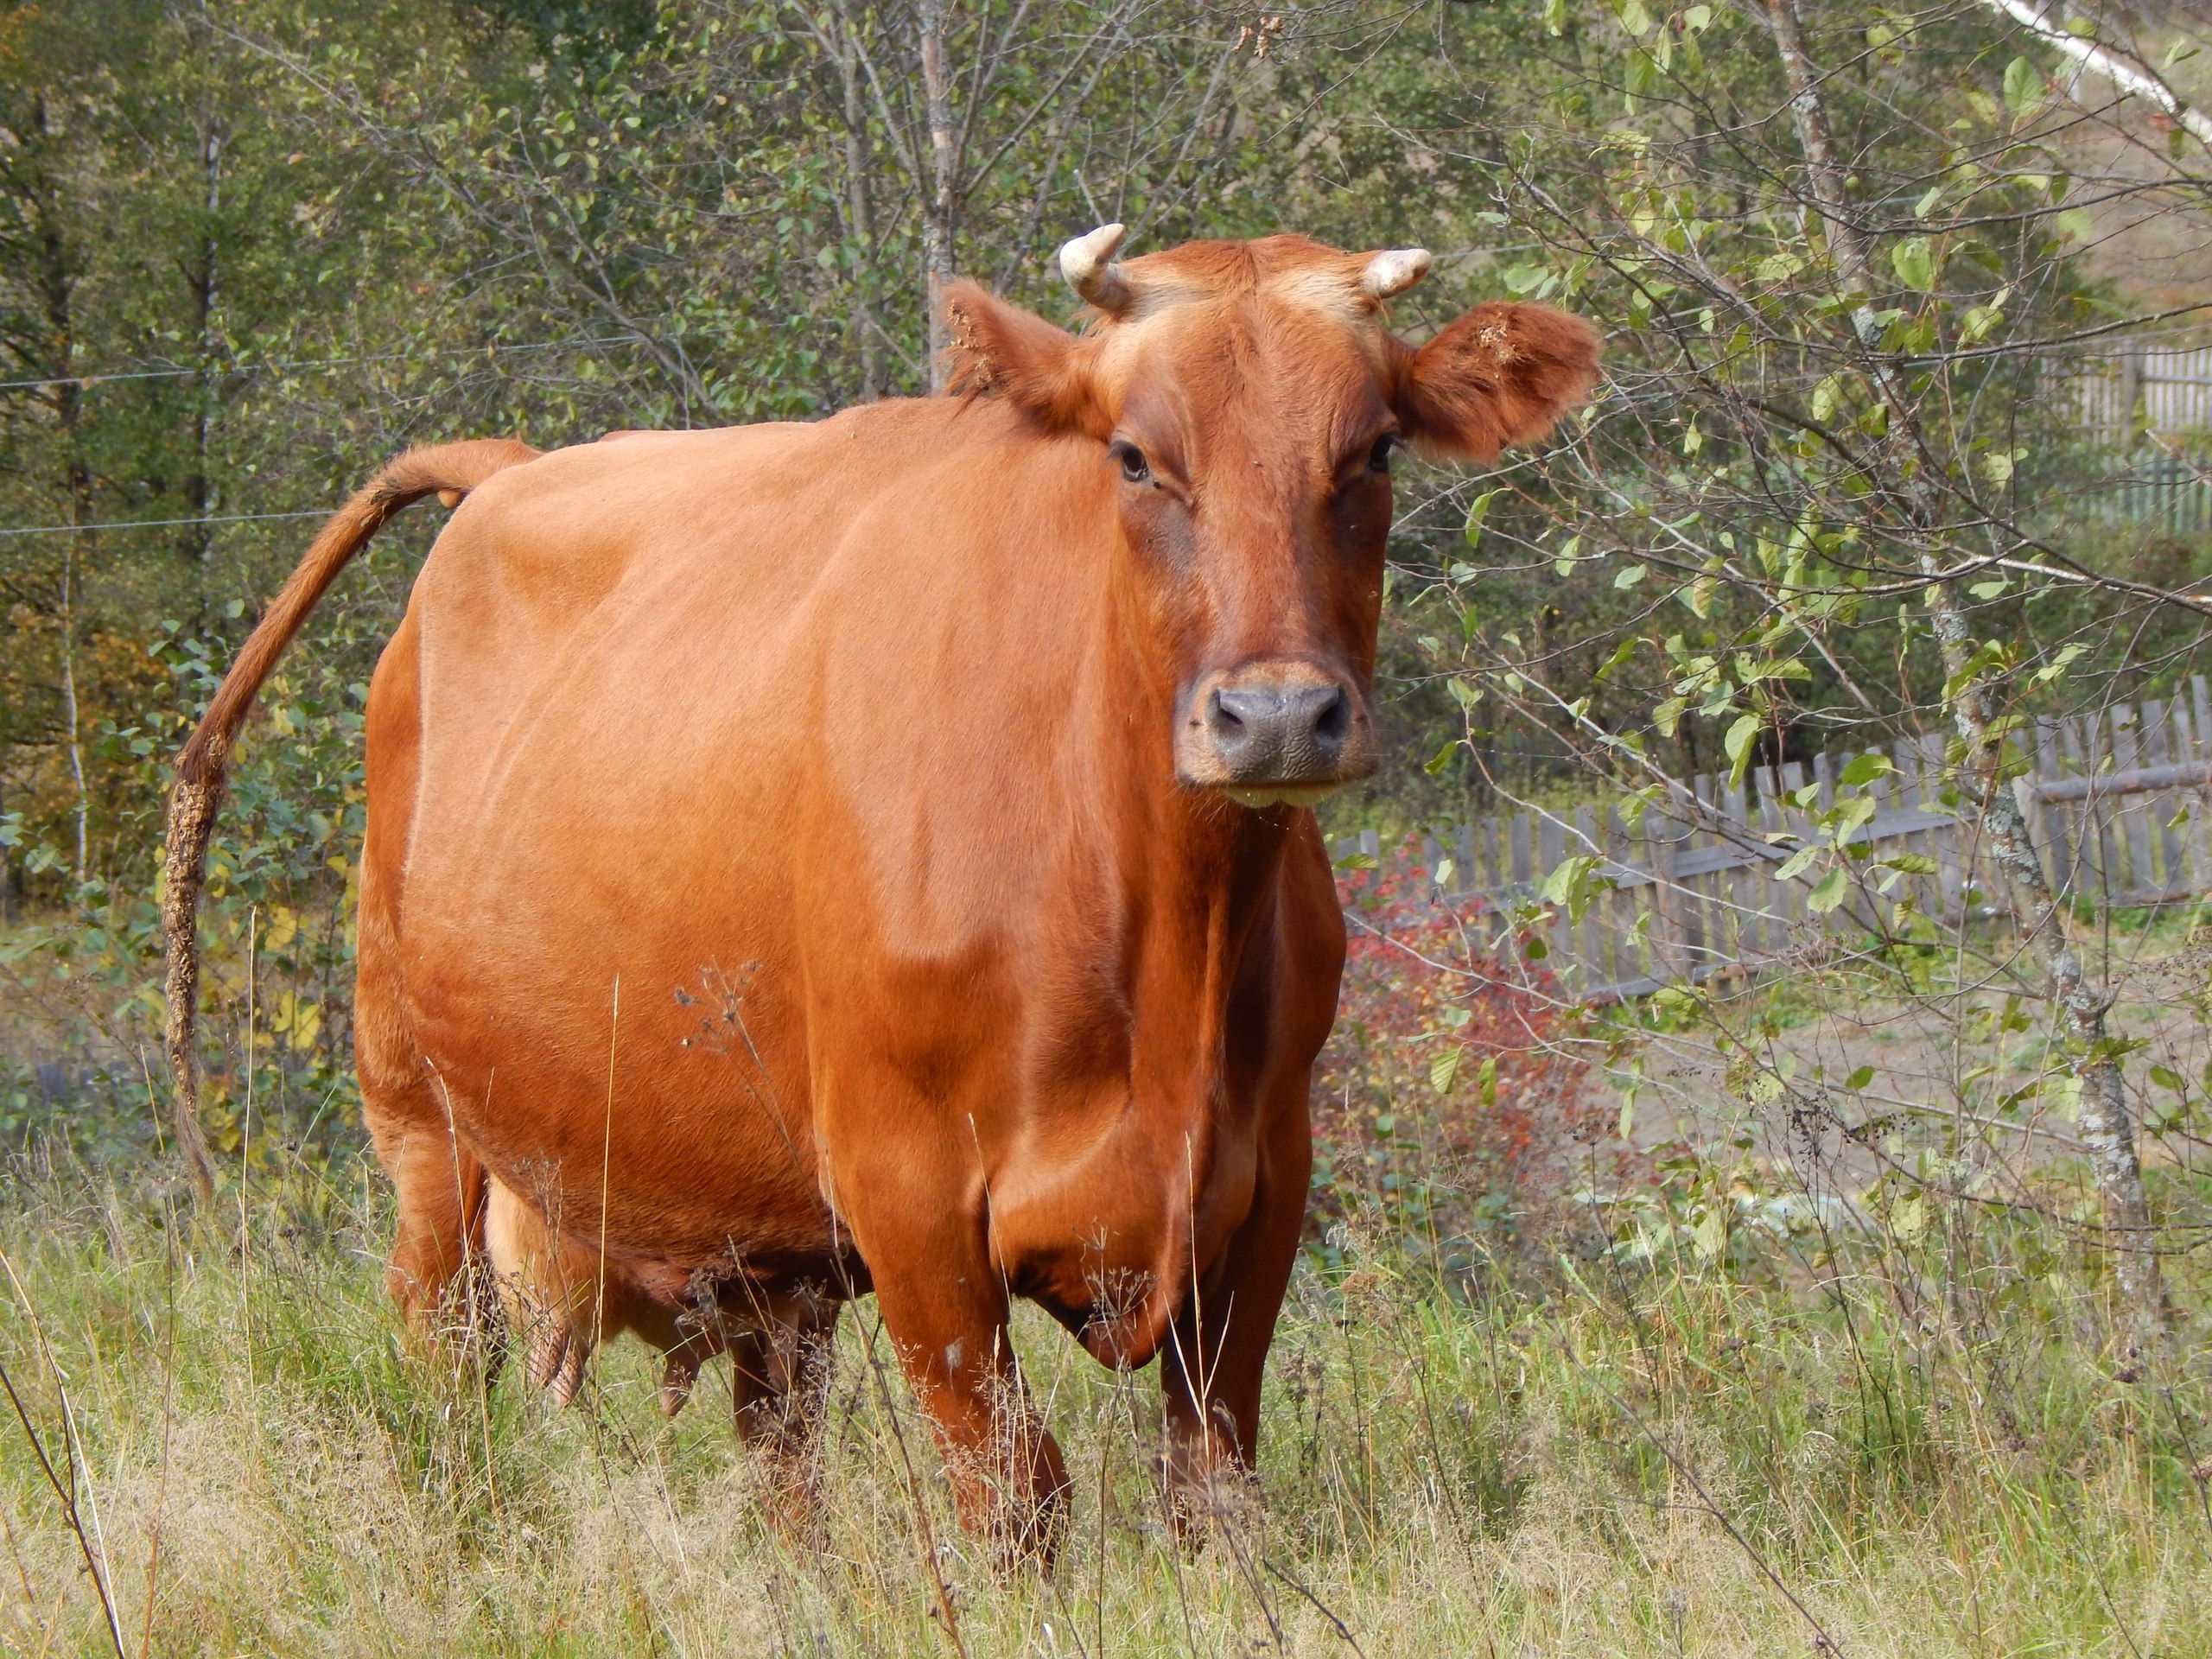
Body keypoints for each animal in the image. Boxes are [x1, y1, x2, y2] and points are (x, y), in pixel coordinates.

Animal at [161, 228, 1597, 1558]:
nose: (1280, 718)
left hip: (751, 1227)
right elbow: (1016, 1495)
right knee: (447, 1353)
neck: (1154, 932)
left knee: (775, 1436)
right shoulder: (909, 1199)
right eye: (1134, 457)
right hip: (418, 1117)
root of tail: (512, 469)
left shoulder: (1263, 1182)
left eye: (1376, 453)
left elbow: (1210, 1490)